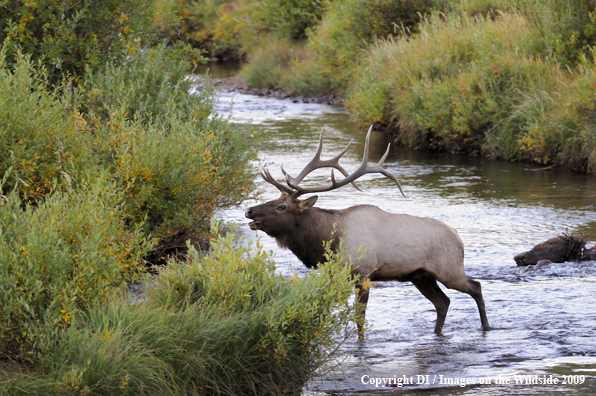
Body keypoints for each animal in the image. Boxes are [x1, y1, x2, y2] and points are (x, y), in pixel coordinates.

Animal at [243, 127, 488, 340]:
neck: (329, 240)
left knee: (475, 287)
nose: (249, 211)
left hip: (449, 269)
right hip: (421, 276)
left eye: (281, 207)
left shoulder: (362, 273)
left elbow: (359, 317)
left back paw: (486, 326)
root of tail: (458, 238)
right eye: (275, 200)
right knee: (443, 302)